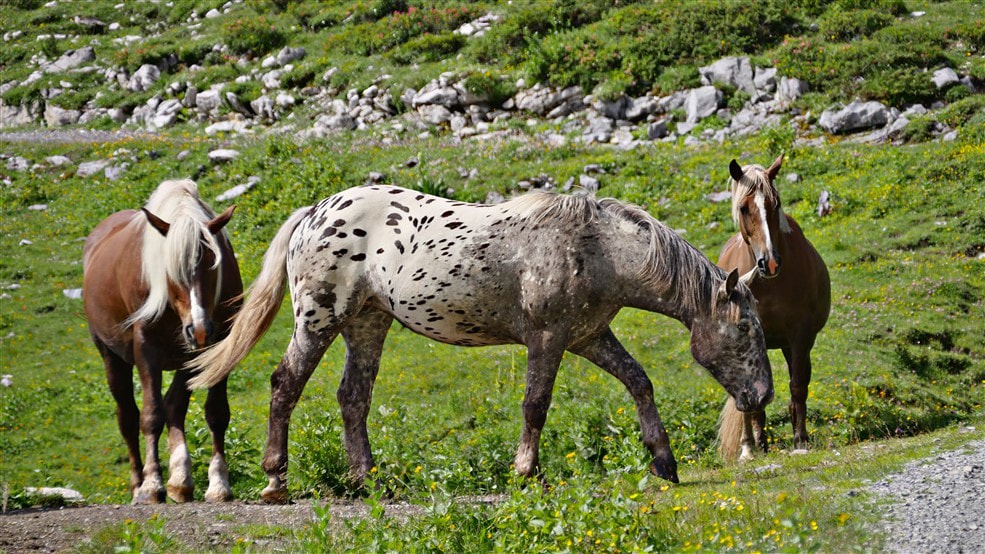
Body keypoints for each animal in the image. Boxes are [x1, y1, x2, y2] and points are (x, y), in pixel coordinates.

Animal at [82, 179, 243, 503]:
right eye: (171, 270)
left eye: (213, 263)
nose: (199, 328)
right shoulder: (147, 350)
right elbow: (151, 415)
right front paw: (152, 484)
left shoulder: (215, 346)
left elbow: (215, 413)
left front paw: (218, 483)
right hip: (111, 357)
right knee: (128, 418)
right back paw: (139, 484)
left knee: (174, 406)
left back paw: (180, 479)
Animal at [187, 184, 773, 503]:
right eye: (746, 328)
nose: (761, 395)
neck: (598, 249)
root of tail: (313, 213)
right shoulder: (548, 339)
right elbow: (536, 405)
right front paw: (525, 472)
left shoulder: (589, 337)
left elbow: (639, 382)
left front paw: (664, 461)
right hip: (319, 319)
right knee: (284, 385)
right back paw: (275, 482)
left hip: (367, 324)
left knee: (353, 399)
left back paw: (368, 481)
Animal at [716, 155, 831, 461]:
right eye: (743, 208)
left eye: (774, 203)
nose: (769, 262)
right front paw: (748, 448)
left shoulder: (800, 337)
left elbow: (798, 386)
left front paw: (800, 440)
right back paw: (756, 444)